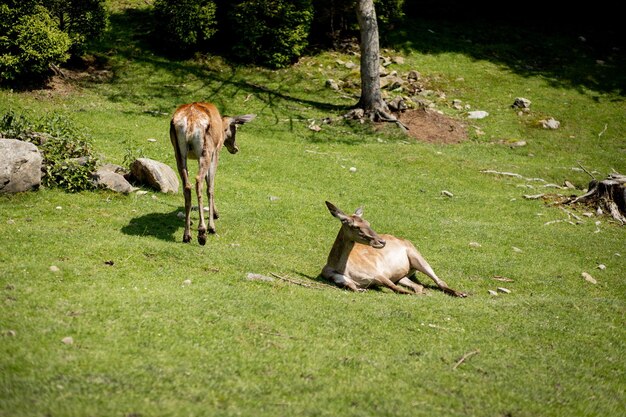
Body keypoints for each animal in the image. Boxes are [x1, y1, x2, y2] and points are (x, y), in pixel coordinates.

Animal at [169, 101, 255, 244]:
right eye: (235, 129)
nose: (235, 148)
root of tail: (189, 121)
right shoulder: (216, 152)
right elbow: (211, 186)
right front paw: (213, 221)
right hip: (206, 151)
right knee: (199, 180)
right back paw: (202, 232)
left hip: (178, 152)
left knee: (187, 185)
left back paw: (187, 235)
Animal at [322, 201, 464, 296]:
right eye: (355, 226)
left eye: (368, 222)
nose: (381, 241)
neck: (343, 269)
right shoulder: (340, 280)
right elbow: (354, 288)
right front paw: (362, 289)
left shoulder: (378, 273)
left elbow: (397, 289)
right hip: (402, 275)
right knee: (418, 286)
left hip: (416, 254)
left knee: (439, 280)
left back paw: (461, 293)